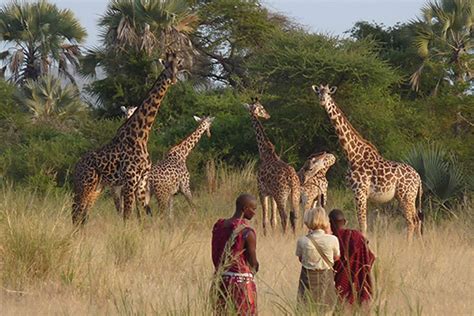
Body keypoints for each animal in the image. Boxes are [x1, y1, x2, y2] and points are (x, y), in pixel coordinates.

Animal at [71, 51, 181, 225]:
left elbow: (145, 215)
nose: (173, 79)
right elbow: (127, 216)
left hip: (96, 188)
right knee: (76, 213)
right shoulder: (130, 181)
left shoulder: (141, 182)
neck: (141, 135)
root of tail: (76, 167)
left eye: (178, 65)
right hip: (85, 185)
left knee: (83, 215)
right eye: (166, 66)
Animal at [244, 99, 300, 235]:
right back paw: (294, 236)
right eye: (262, 108)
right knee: (295, 216)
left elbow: (265, 219)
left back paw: (285, 236)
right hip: (294, 195)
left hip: (281, 195)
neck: (265, 153)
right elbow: (273, 220)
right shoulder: (272, 194)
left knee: (284, 217)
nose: (268, 115)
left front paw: (266, 235)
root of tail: (291, 179)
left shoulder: (262, 191)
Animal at [312, 84, 422, 239]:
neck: (352, 154)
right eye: (318, 92)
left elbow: (362, 225)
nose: (322, 100)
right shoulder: (355, 193)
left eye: (328, 93)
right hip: (407, 197)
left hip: (406, 196)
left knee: (411, 221)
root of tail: (418, 178)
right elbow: (361, 223)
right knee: (417, 220)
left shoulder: (360, 191)